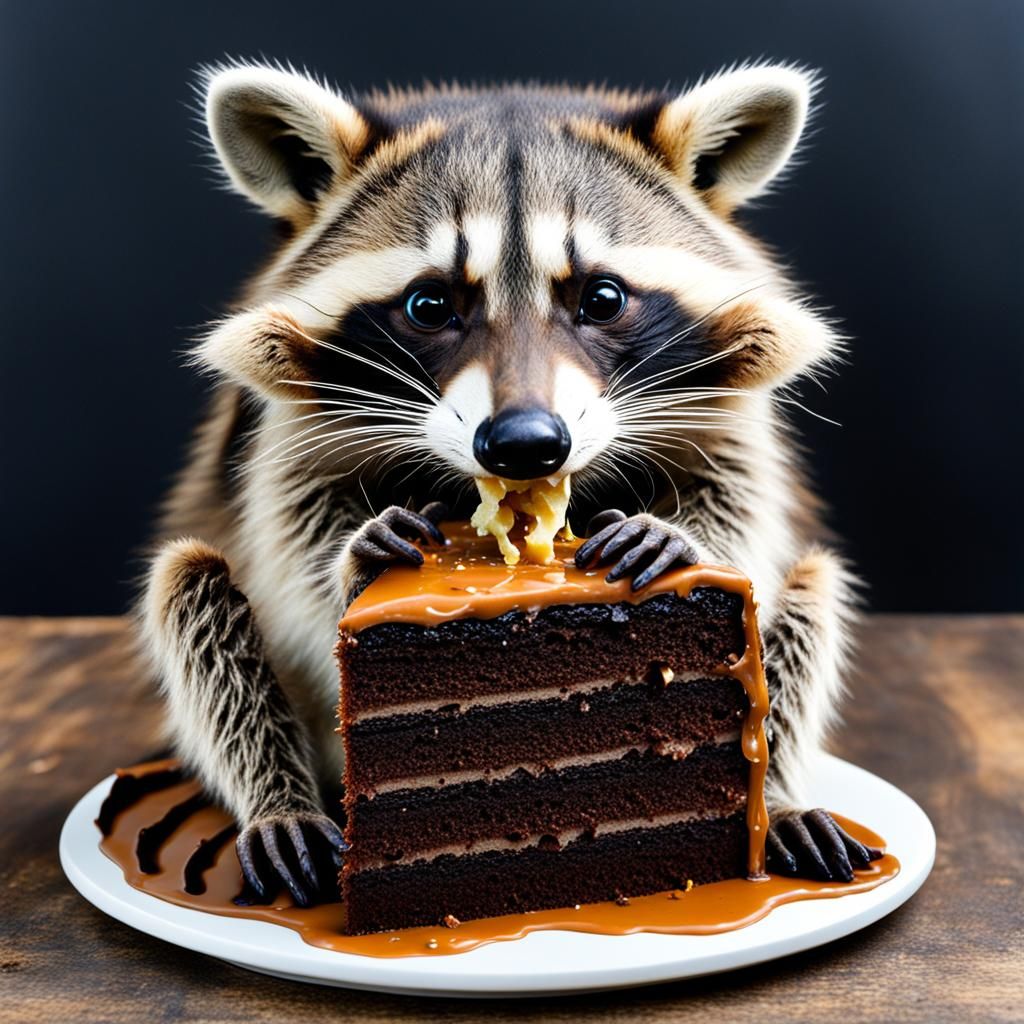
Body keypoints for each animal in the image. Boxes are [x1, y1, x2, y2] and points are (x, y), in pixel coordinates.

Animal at [141, 61, 880, 906]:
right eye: (429, 304)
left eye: (601, 298)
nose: (526, 445)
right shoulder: (290, 424)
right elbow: (291, 539)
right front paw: (355, 551)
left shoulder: (726, 404)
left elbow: (739, 506)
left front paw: (679, 534)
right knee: (192, 591)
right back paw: (278, 799)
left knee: (812, 592)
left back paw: (778, 797)